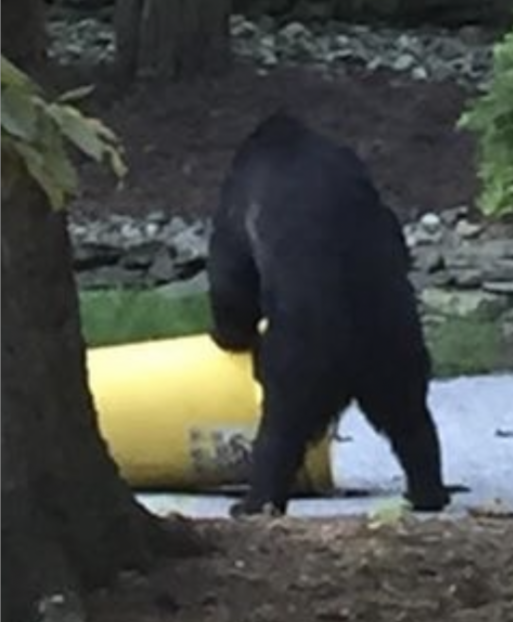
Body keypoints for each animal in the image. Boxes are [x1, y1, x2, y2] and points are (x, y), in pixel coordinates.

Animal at [206, 112, 450, 516]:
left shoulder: (240, 196)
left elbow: (231, 271)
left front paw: (226, 333)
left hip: (300, 356)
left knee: (281, 423)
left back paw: (254, 502)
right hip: (394, 346)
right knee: (408, 414)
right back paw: (428, 494)